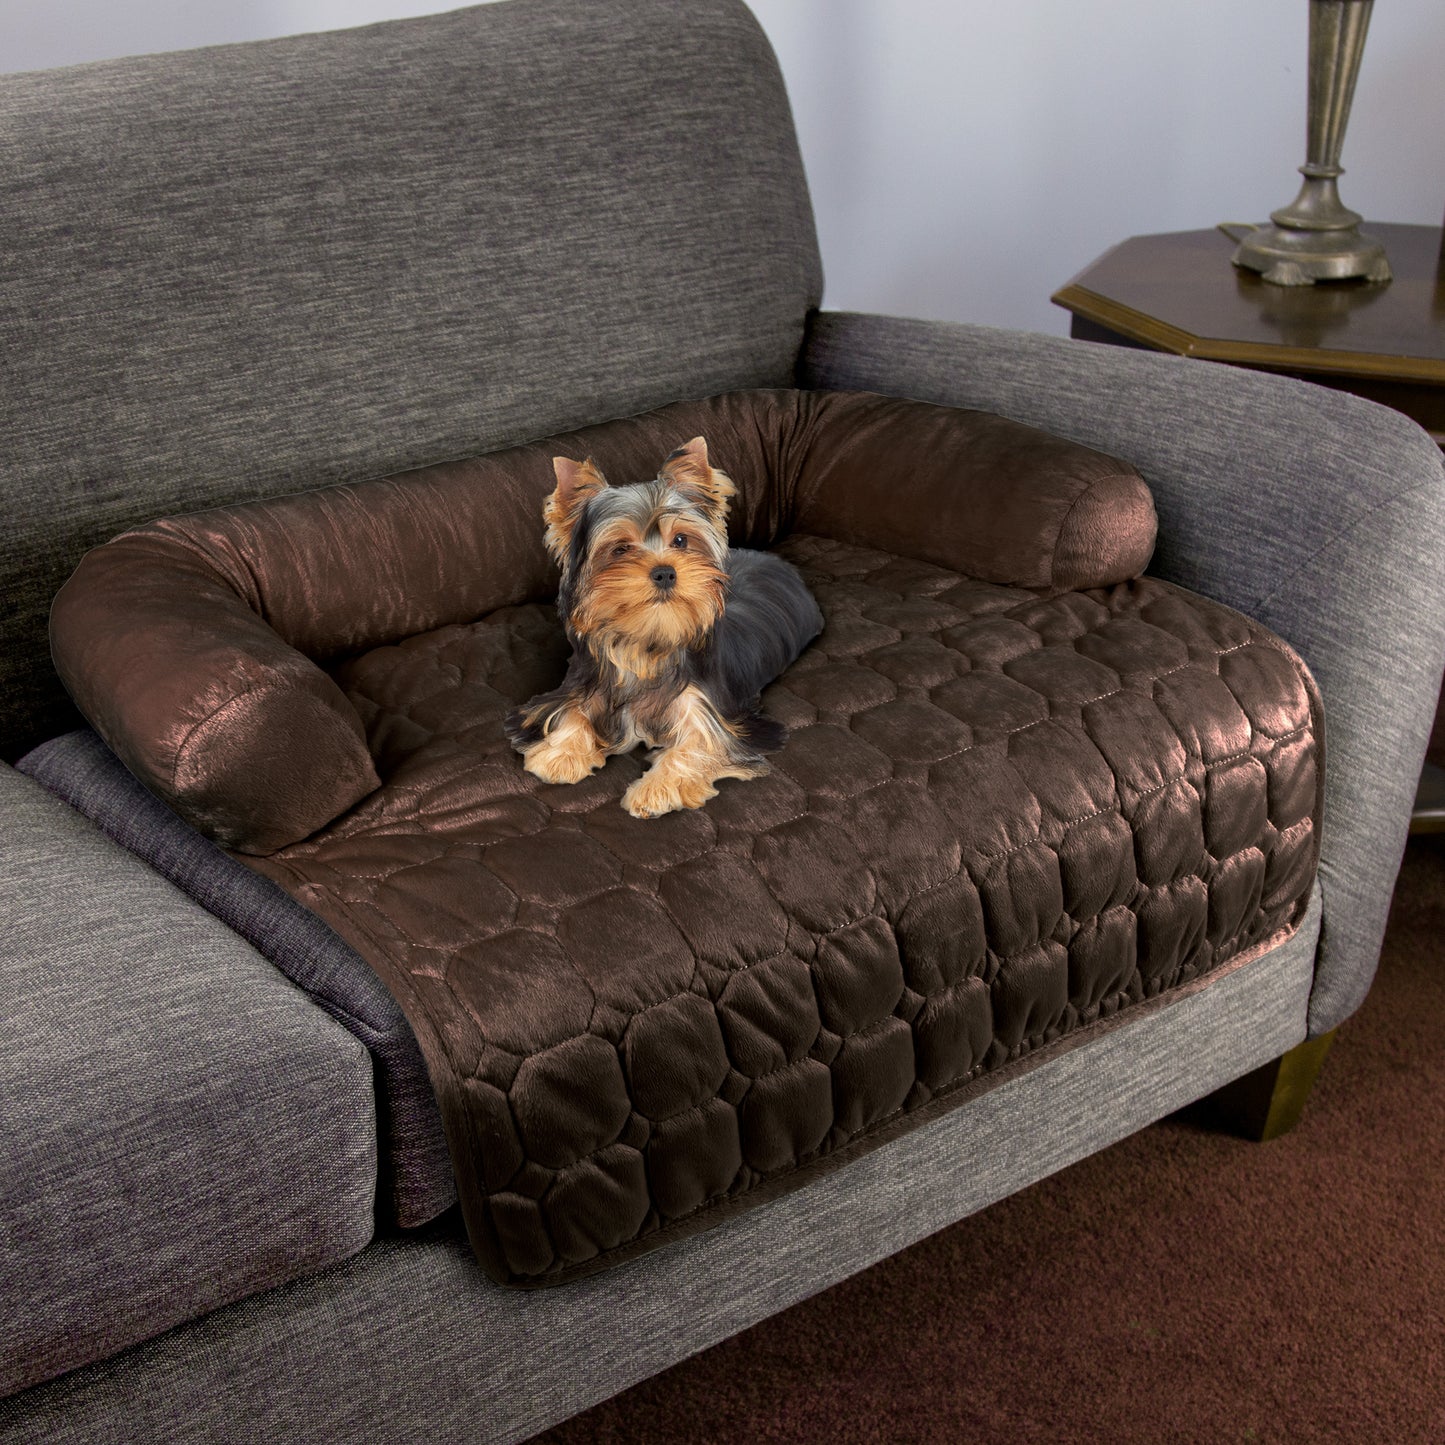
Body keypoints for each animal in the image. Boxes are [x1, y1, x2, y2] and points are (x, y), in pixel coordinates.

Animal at [508, 433, 826, 820]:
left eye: (680, 540)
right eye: (619, 549)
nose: (665, 571)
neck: (648, 640)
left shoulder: (711, 707)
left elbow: (701, 741)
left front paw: (656, 790)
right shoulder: (585, 684)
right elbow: (571, 710)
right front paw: (561, 754)